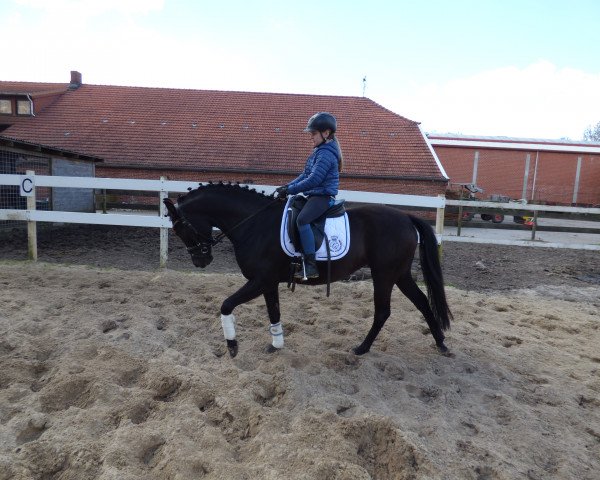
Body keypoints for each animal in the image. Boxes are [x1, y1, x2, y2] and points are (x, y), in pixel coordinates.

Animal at [162, 182, 452, 358]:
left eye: (182, 228)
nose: (200, 261)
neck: (254, 223)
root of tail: (406, 217)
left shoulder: (259, 280)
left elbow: (226, 305)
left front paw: (232, 346)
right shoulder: (268, 283)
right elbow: (274, 311)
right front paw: (276, 344)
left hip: (384, 275)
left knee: (383, 312)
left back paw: (361, 348)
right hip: (399, 274)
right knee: (422, 302)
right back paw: (440, 343)